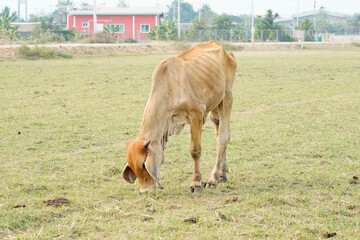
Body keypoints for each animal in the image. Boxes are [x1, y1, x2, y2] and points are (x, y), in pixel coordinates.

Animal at [122, 39, 238, 193]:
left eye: (143, 165)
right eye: (132, 166)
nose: (145, 191)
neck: (169, 86)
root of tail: (222, 47)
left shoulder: (197, 114)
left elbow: (195, 150)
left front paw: (196, 183)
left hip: (227, 97)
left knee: (223, 138)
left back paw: (213, 179)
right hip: (215, 106)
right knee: (219, 133)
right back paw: (222, 174)